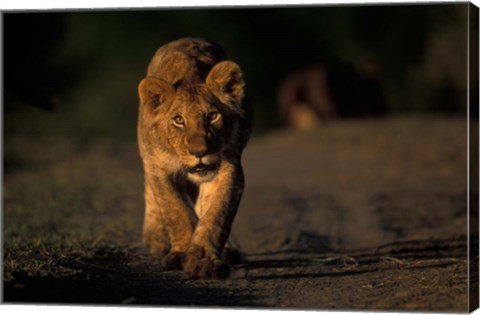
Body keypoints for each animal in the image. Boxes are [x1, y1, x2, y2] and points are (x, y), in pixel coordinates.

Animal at [137, 39, 253, 278]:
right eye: (179, 120)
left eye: (212, 116)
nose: (200, 152)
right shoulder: (159, 168)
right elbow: (176, 211)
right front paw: (180, 254)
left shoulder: (229, 167)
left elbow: (215, 215)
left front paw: (204, 258)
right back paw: (155, 242)